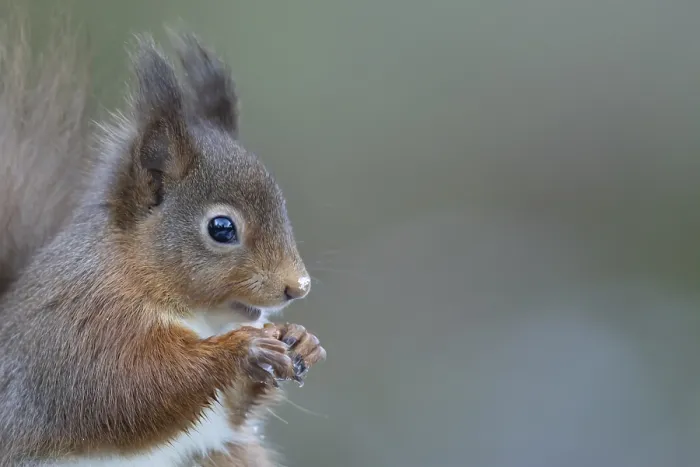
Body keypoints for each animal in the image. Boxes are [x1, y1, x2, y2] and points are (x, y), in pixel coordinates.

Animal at [0, 14, 326, 467]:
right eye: (221, 228)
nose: (298, 287)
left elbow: (230, 410)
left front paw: (300, 340)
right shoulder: (79, 329)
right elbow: (127, 390)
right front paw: (241, 349)